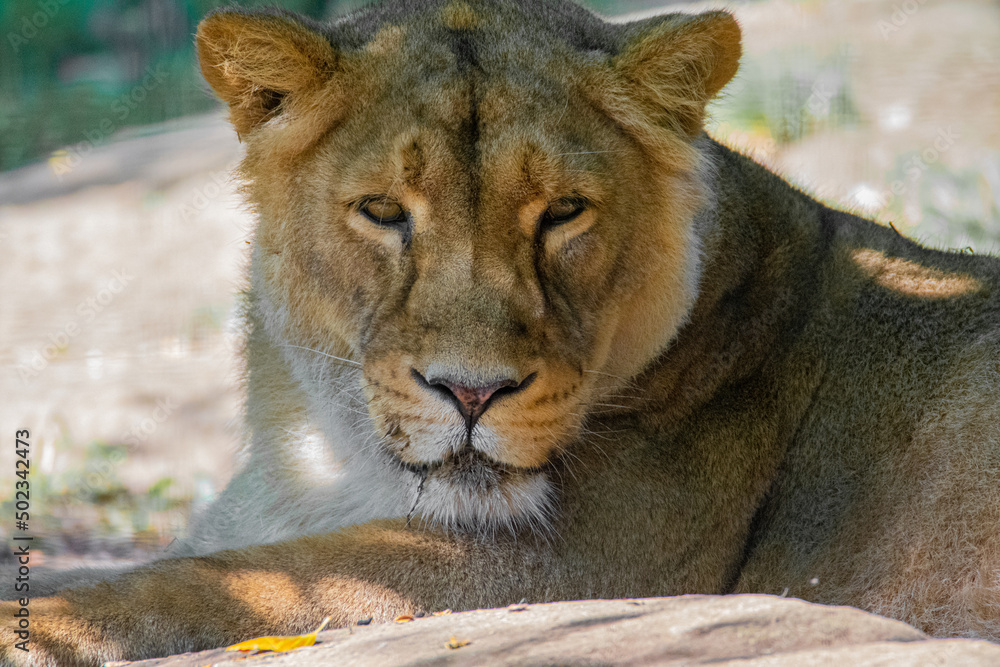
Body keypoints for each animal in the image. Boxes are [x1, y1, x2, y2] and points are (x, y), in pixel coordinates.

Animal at [3, 0, 1000, 663]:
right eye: (382, 210)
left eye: (563, 211)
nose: (473, 390)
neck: (321, 451)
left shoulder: (574, 565)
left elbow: (224, 581)